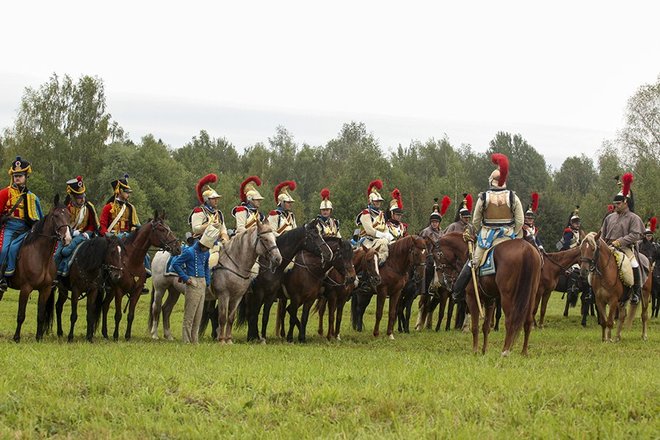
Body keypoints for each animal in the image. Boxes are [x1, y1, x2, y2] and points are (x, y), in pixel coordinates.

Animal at [5, 194, 72, 342]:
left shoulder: (45, 289)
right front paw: (16, 337)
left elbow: (41, 315)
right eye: (56, 216)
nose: (67, 239)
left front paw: (39, 337)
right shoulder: (25, 288)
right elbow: (21, 314)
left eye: (69, 215)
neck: (41, 256)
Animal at [101, 211, 180, 341]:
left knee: (104, 305)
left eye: (168, 228)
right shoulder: (119, 290)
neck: (131, 261)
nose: (178, 248)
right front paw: (116, 336)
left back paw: (105, 333)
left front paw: (127, 336)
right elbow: (118, 315)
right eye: (161, 229)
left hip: (111, 291)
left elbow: (131, 315)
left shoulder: (136, 291)